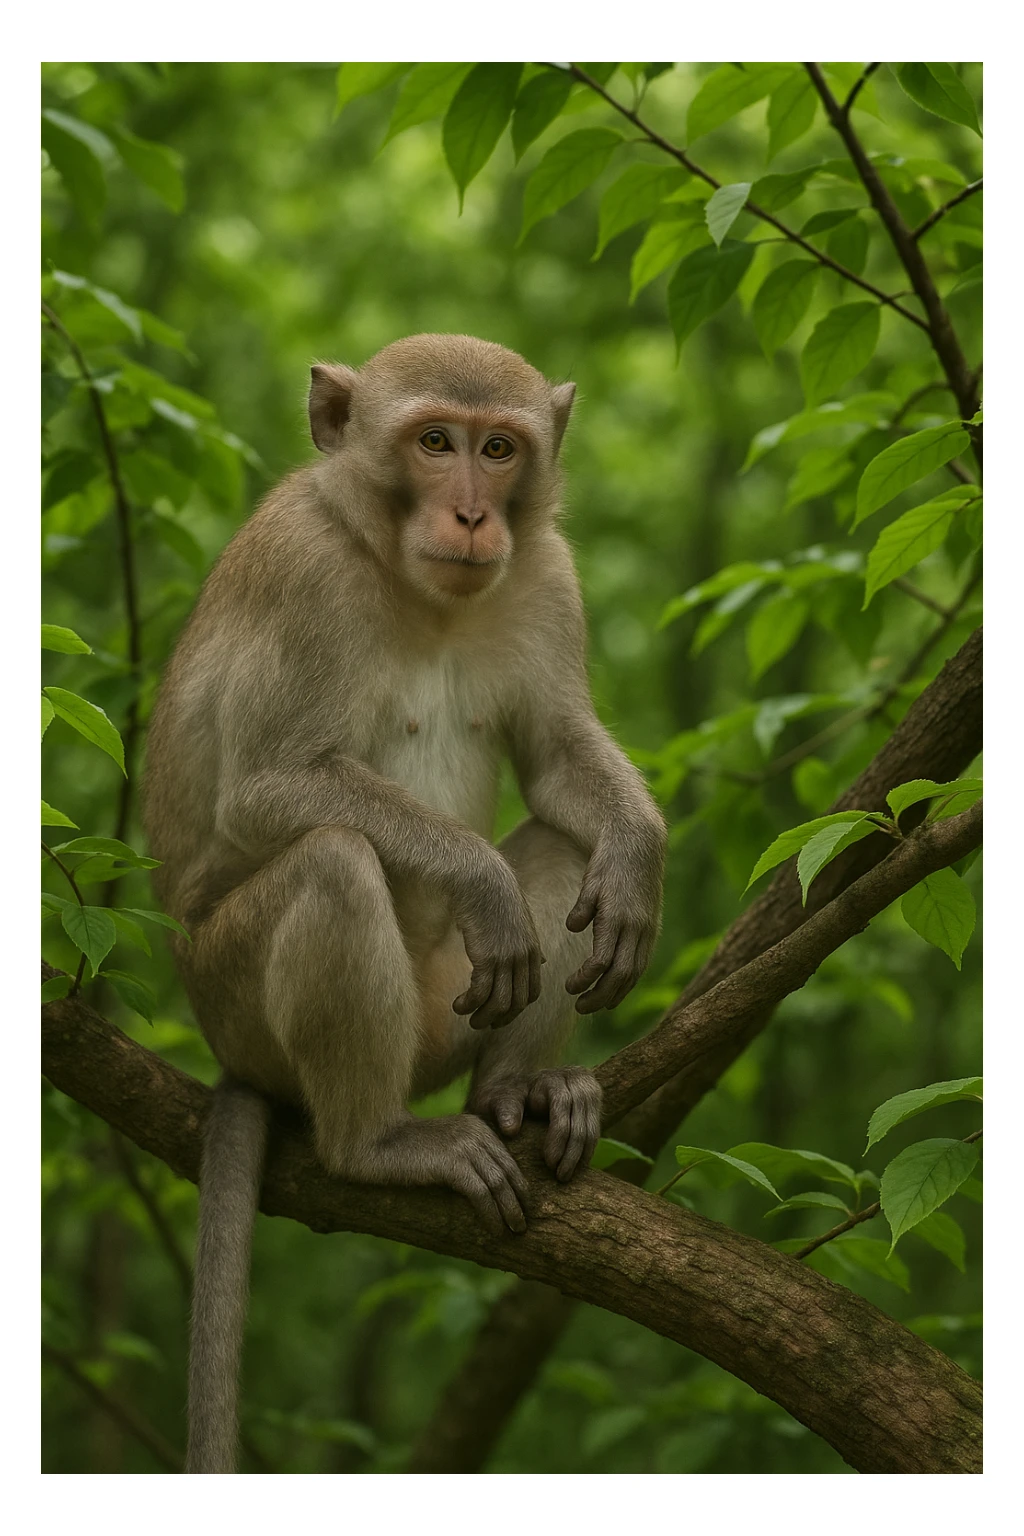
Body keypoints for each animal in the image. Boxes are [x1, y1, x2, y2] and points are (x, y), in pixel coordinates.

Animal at [142, 334, 666, 1473]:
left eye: (498, 449)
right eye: (433, 442)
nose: (471, 514)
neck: (411, 581)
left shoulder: (547, 576)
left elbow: (558, 767)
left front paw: (638, 862)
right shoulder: (302, 573)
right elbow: (266, 787)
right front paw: (477, 877)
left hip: (443, 1016)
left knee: (560, 850)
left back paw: (520, 1093)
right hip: (234, 1001)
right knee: (335, 863)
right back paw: (376, 1144)